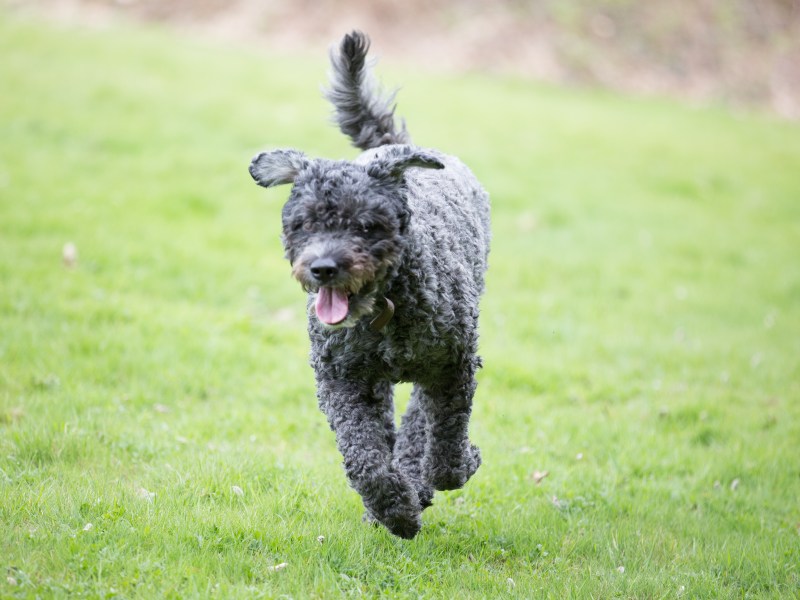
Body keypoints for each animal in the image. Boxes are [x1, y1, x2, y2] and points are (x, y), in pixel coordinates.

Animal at [247, 31, 490, 540]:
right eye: (303, 223)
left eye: (364, 225)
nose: (322, 267)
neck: (385, 310)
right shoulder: (343, 379)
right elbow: (365, 461)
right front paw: (394, 510)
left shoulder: (455, 364)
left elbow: (446, 445)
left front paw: (458, 466)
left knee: (420, 424)